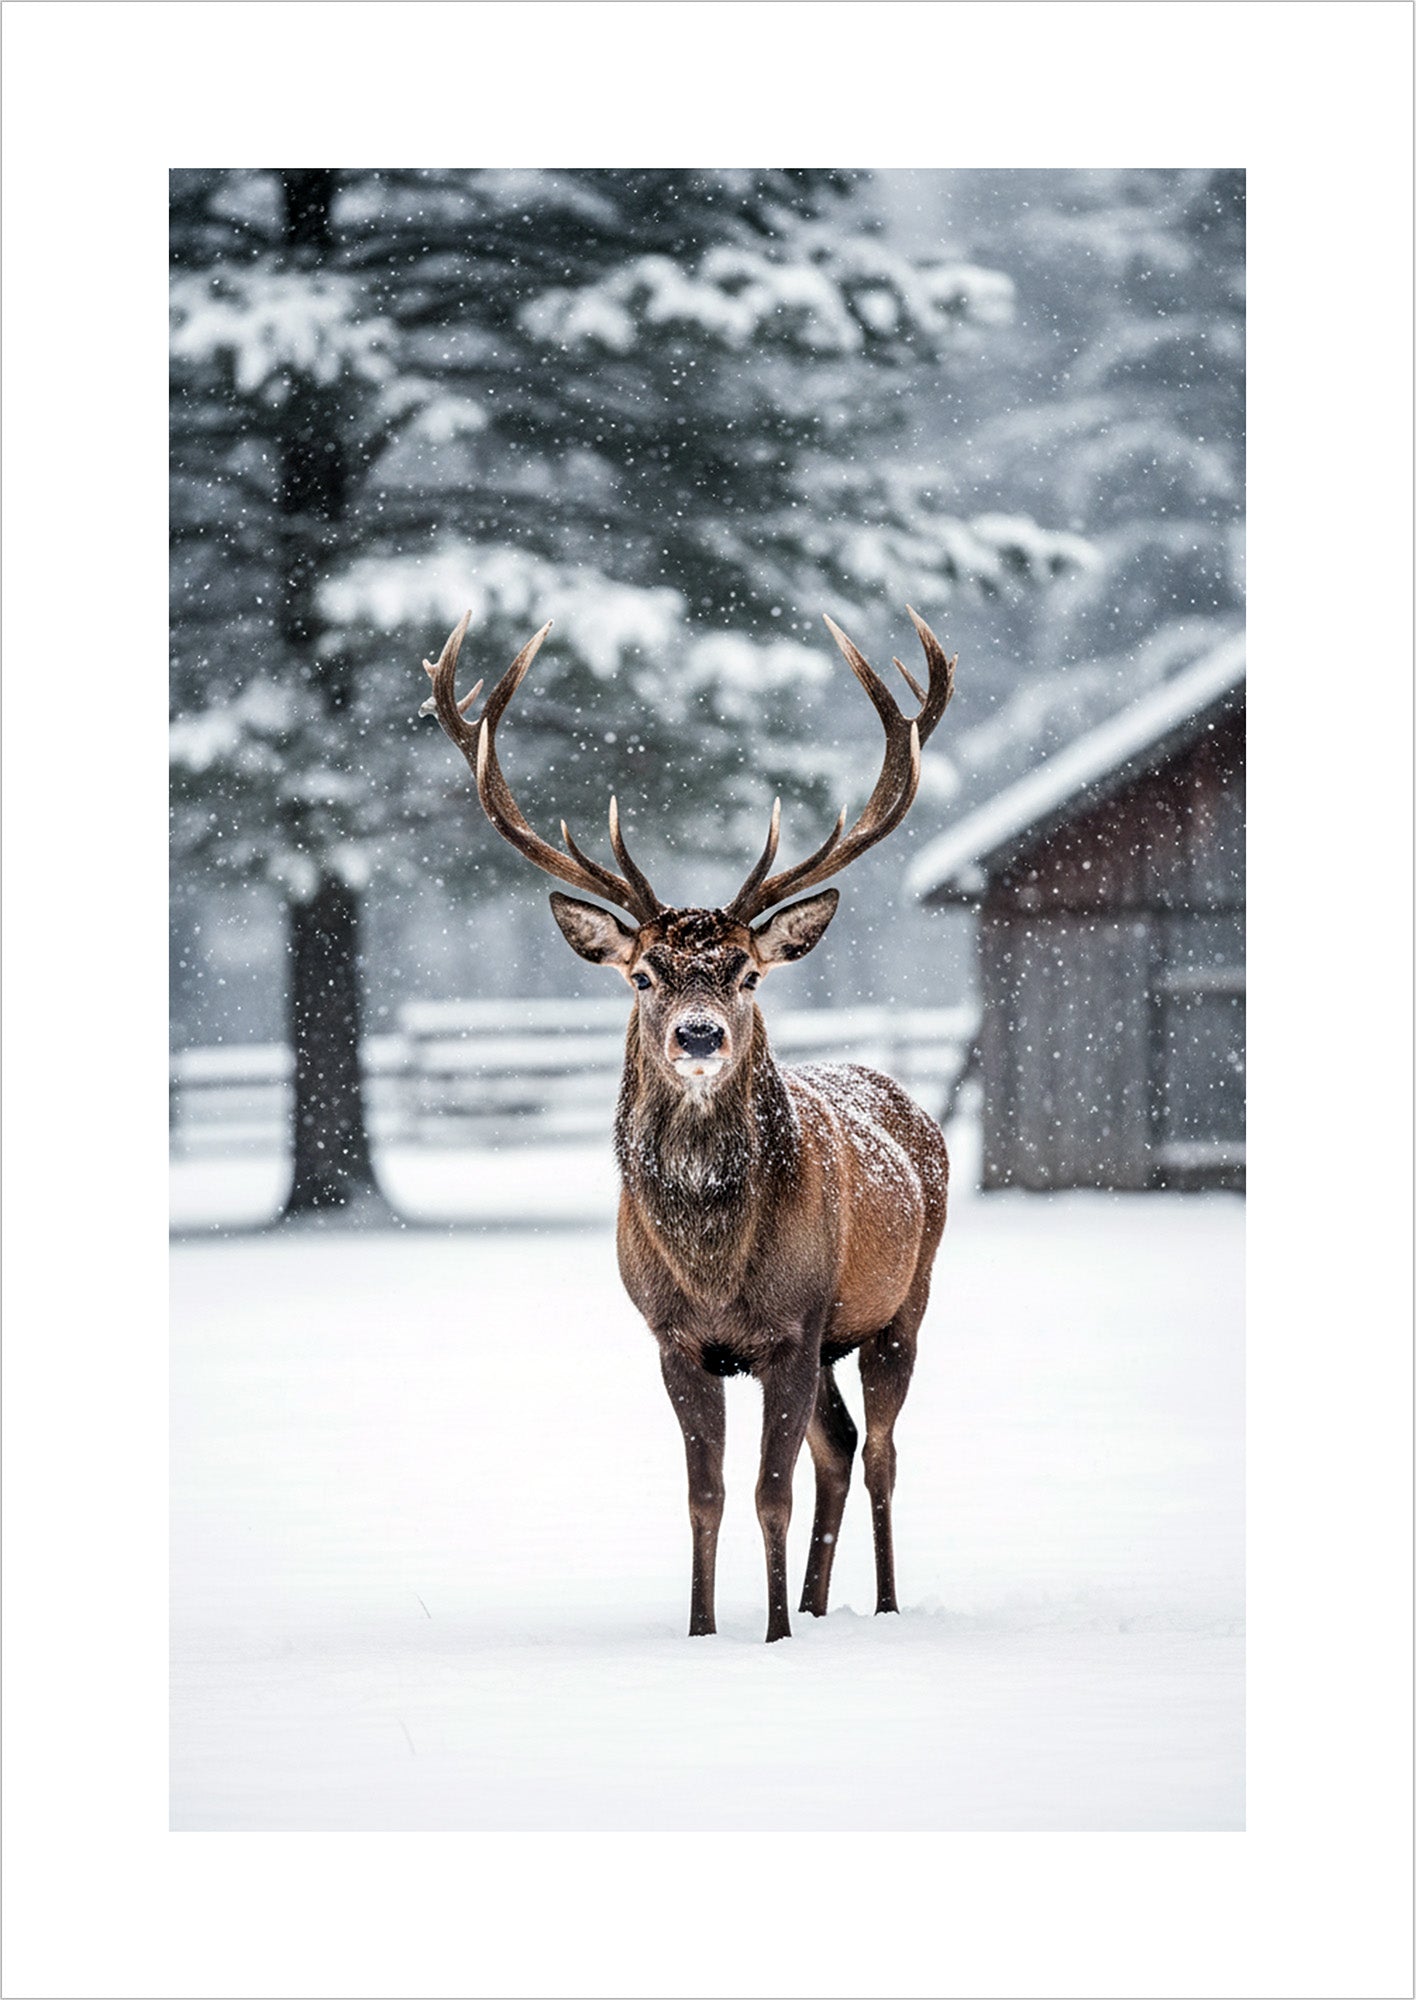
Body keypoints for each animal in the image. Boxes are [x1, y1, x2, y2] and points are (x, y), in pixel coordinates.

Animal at [420, 605, 955, 1642]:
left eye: (746, 972)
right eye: (642, 974)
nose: (698, 1033)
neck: (714, 1265)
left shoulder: (792, 1324)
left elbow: (767, 1493)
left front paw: (773, 1636)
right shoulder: (674, 1338)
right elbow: (706, 1495)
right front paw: (708, 1633)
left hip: (900, 1301)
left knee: (878, 1451)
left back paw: (878, 1606)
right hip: (832, 1339)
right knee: (838, 1447)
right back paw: (822, 1606)